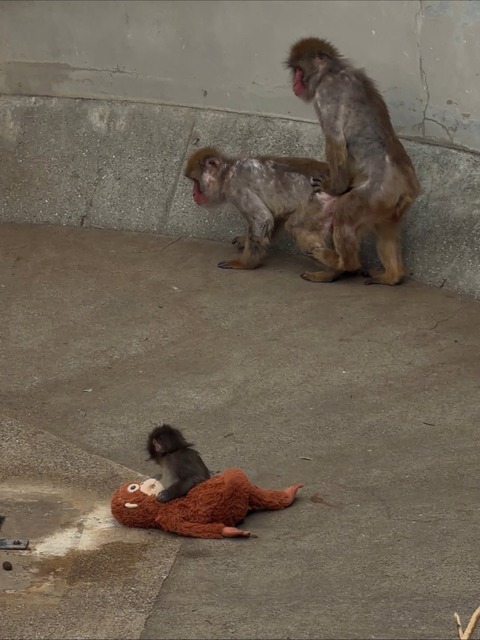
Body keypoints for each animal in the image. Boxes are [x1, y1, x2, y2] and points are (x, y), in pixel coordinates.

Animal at [184, 146, 341, 281]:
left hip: (319, 202)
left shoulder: (237, 187)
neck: (227, 172)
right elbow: (274, 216)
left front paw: (244, 264)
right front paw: (245, 240)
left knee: (296, 227)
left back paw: (332, 271)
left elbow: (262, 218)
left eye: (196, 182)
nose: (193, 194)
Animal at [286, 37, 421, 285]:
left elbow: (336, 140)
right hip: (388, 207)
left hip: (377, 195)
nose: (294, 83)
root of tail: (409, 187)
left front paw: (334, 187)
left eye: (299, 71)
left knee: (345, 211)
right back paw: (392, 276)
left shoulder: (326, 94)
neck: (331, 72)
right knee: (385, 229)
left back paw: (344, 263)